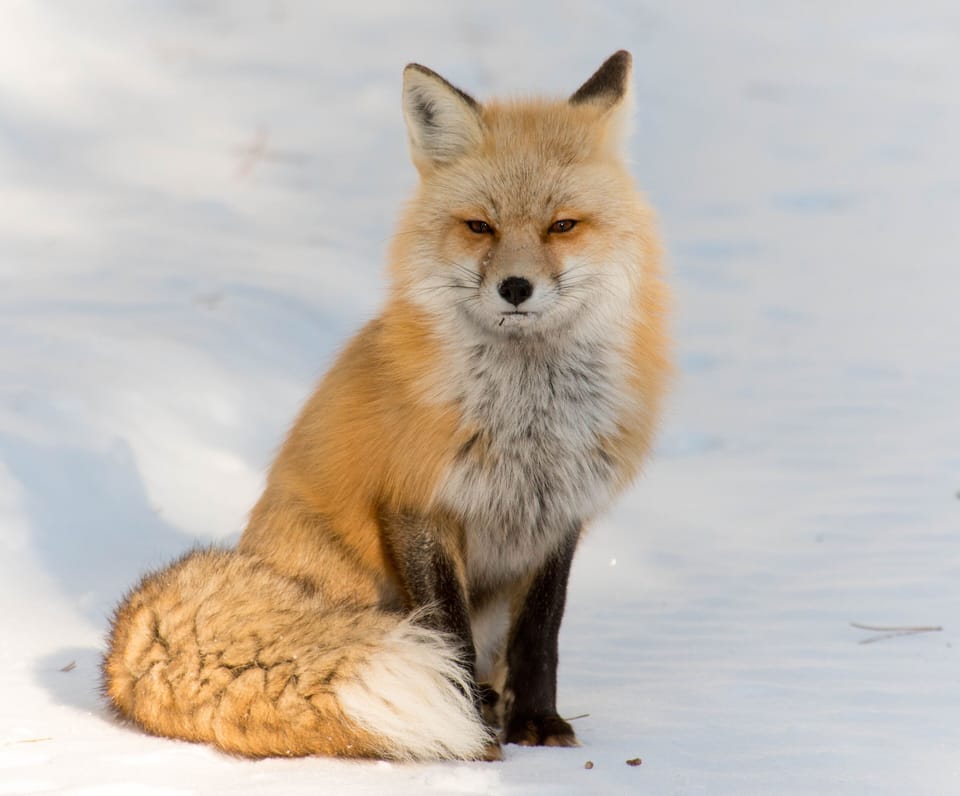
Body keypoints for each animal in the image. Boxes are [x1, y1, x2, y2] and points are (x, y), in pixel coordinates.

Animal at [102, 50, 670, 762]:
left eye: (562, 225)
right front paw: (475, 734)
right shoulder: (416, 501)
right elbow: (447, 631)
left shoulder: (560, 513)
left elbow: (541, 634)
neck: (527, 420)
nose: (516, 287)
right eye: (480, 226)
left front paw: (537, 723)